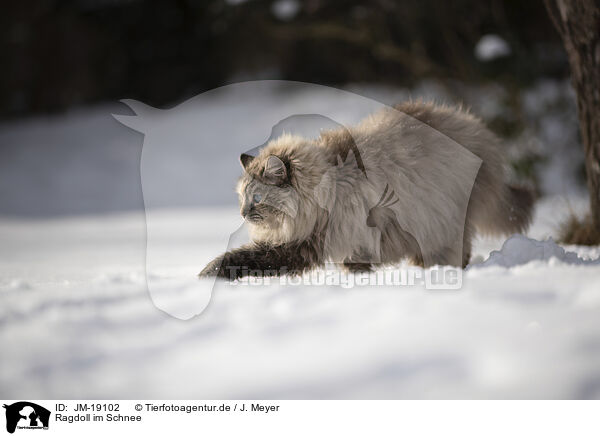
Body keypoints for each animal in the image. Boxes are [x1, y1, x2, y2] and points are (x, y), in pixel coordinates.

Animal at [199, 101, 532, 280]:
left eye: (257, 199)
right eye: (242, 198)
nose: (243, 213)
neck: (329, 189)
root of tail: (474, 126)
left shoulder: (351, 242)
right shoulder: (299, 246)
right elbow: (241, 259)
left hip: (443, 224)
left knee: (457, 253)